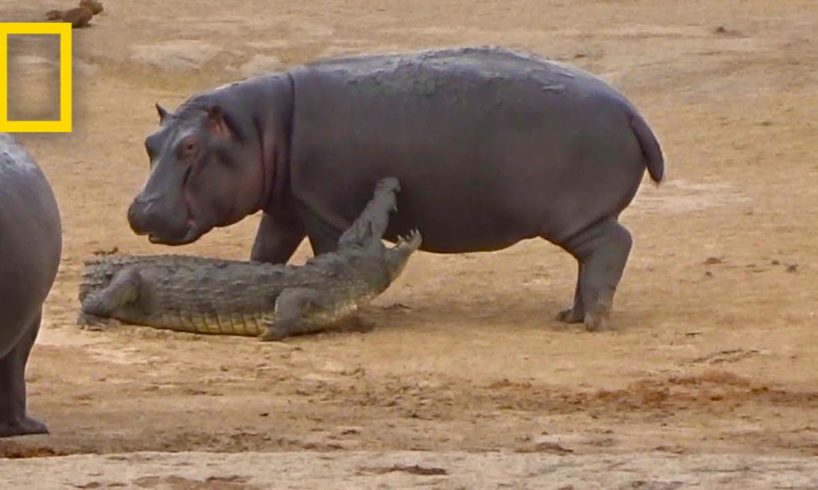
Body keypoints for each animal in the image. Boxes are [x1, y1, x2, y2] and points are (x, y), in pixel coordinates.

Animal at [127, 46, 664, 332]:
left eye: (191, 146)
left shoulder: (323, 210)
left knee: (612, 246)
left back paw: (593, 322)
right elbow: (265, 253)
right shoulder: (288, 207)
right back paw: (570, 315)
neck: (259, 128)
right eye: (150, 142)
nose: (140, 211)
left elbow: (325, 255)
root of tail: (631, 110)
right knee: (592, 260)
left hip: (577, 217)